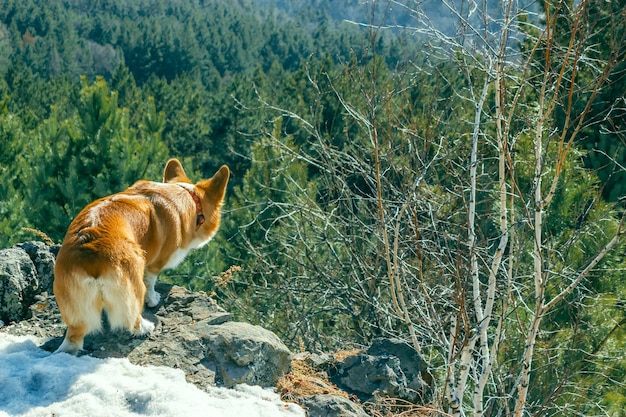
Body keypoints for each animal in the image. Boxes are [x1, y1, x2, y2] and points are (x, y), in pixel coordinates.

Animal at [53, 158, 229, 352]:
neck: (186, 195)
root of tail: (90, 252)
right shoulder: (156, 263)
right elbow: (151, 282)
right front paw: (154, 299)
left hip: (74, 302)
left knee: (75, 334)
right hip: (132, 285)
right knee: (132, 317)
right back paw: (146, 327)